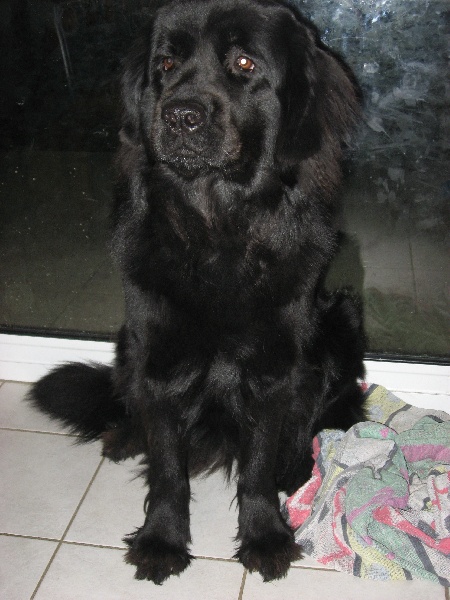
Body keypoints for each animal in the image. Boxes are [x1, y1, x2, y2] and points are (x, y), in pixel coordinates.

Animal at [29, 0, 366, 584]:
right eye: (164, 65)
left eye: (245, 63)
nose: (180, 116)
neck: (216, 232)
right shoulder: (160, 357)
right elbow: (168, 469)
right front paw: (162, 539)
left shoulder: (273, 369)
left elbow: (257, 466)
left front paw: (265, 535)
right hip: (127, 342)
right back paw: (125, 436)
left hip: (338, 320)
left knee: (323, 413)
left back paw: (299, 466)